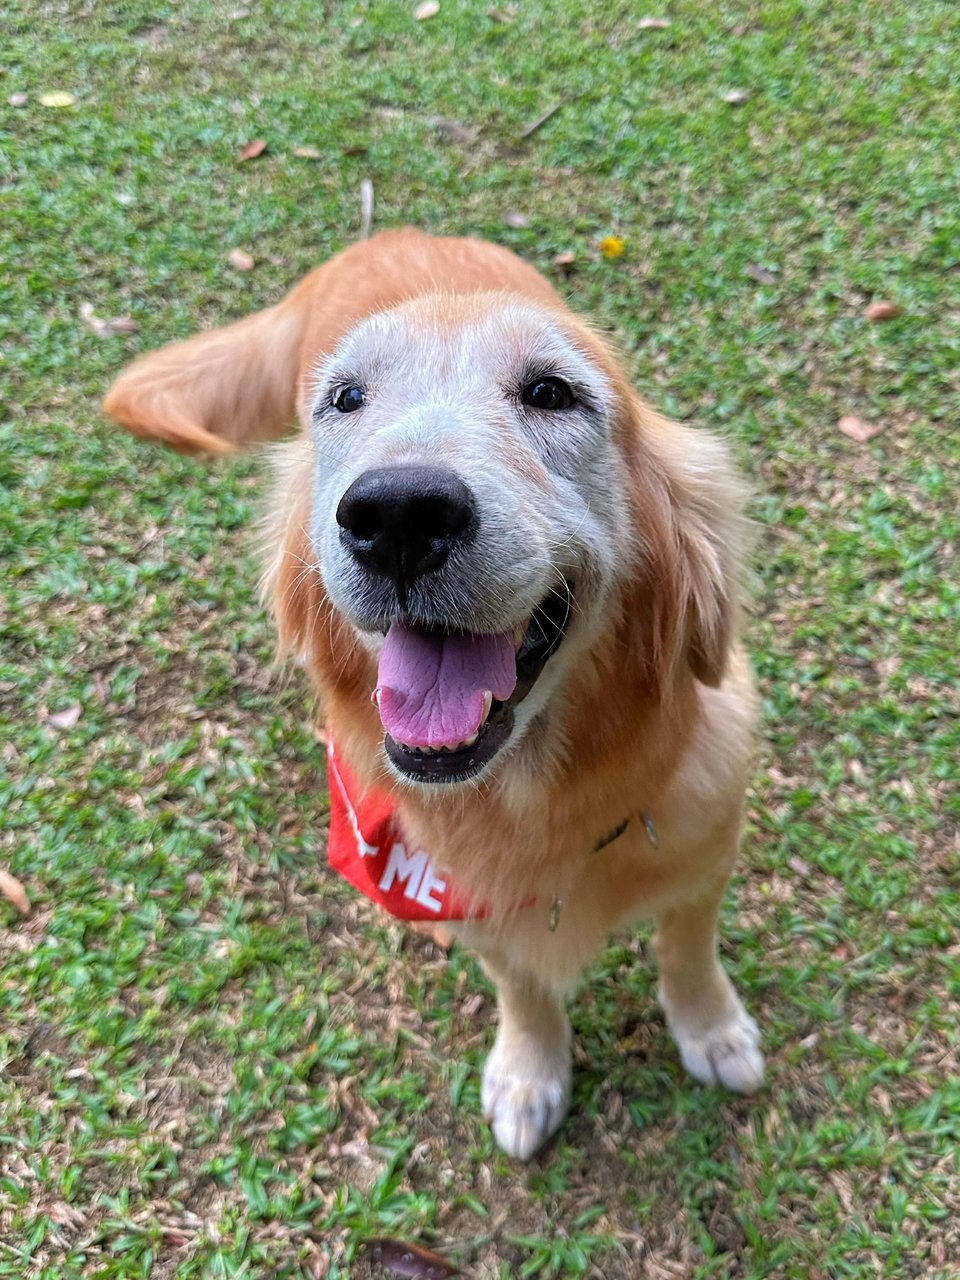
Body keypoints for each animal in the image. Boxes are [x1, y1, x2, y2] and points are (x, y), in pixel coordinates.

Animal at [104, 230, 768, 1162]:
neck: (538, 808)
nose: (398, 515)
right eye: (346, 399)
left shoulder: (704, 855)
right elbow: (525, 987)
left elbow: (687, 951)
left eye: (550, 392)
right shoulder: (472, 903)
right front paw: (530, 1073)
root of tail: (387, 235)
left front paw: (712, 1030)